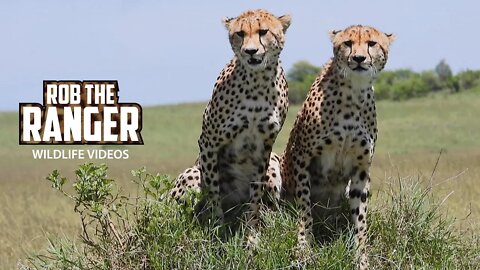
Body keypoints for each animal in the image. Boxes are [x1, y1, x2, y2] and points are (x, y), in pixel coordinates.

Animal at [170, 8, 288, 240]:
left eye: (263, 32)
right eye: (240, 33)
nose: (250, 51)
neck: (258, 82)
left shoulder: (265, 146)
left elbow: (255, 196)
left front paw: (252, 235)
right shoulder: (209, 142)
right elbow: (213, 193)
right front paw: (218, 229)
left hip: (273, 163)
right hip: (191, 174)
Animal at [278, 25, 394, 268]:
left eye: (371, 43)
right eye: (348, 43)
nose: (358, 58)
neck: (353, 92)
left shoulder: (361, 169)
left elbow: (360, 218)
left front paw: (361, 257)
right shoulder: (302, 156)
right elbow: (304, 207)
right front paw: (304, 247)